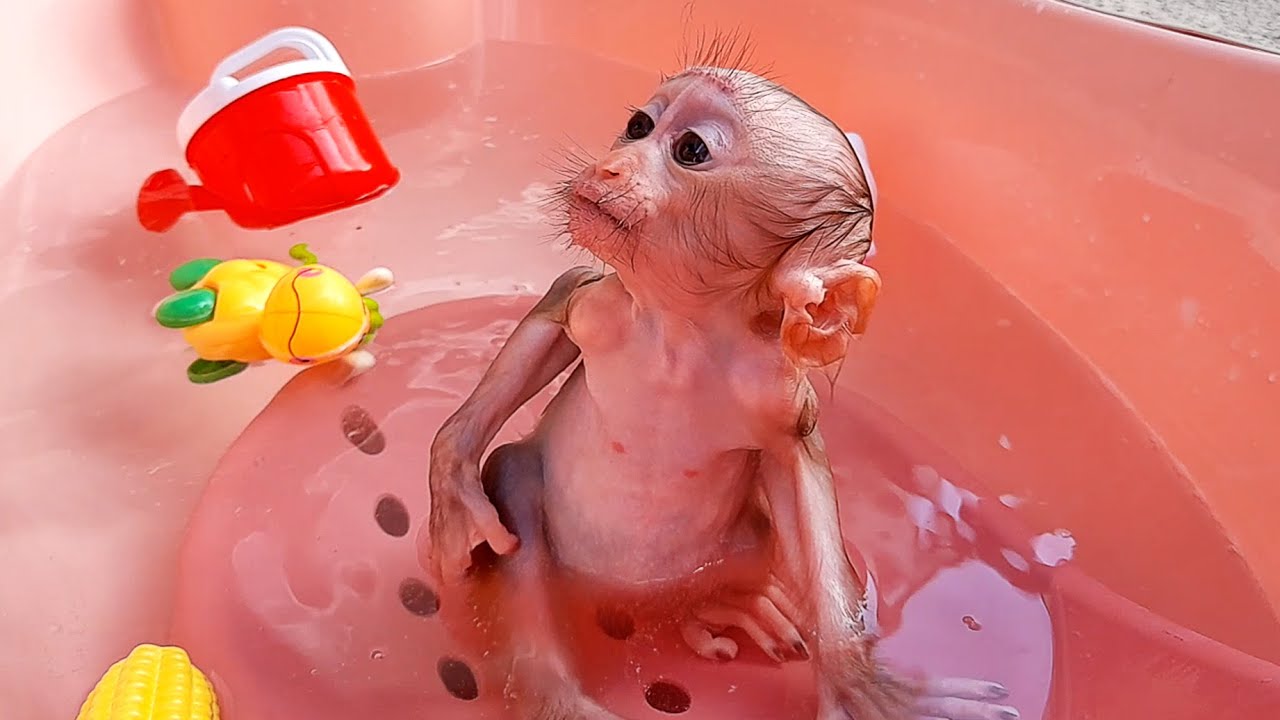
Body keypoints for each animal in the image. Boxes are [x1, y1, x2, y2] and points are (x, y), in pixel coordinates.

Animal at [419, 49, 1020, 720]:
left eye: (691, 149)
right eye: (638, 126)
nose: (610, 165)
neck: (679, 339)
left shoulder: (772, 388)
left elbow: (796, 464)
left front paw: (858, 678)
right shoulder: (600, 308)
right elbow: (553, 314)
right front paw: (453, 489)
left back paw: (724, 604)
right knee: (515, 487)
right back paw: (558, 691)